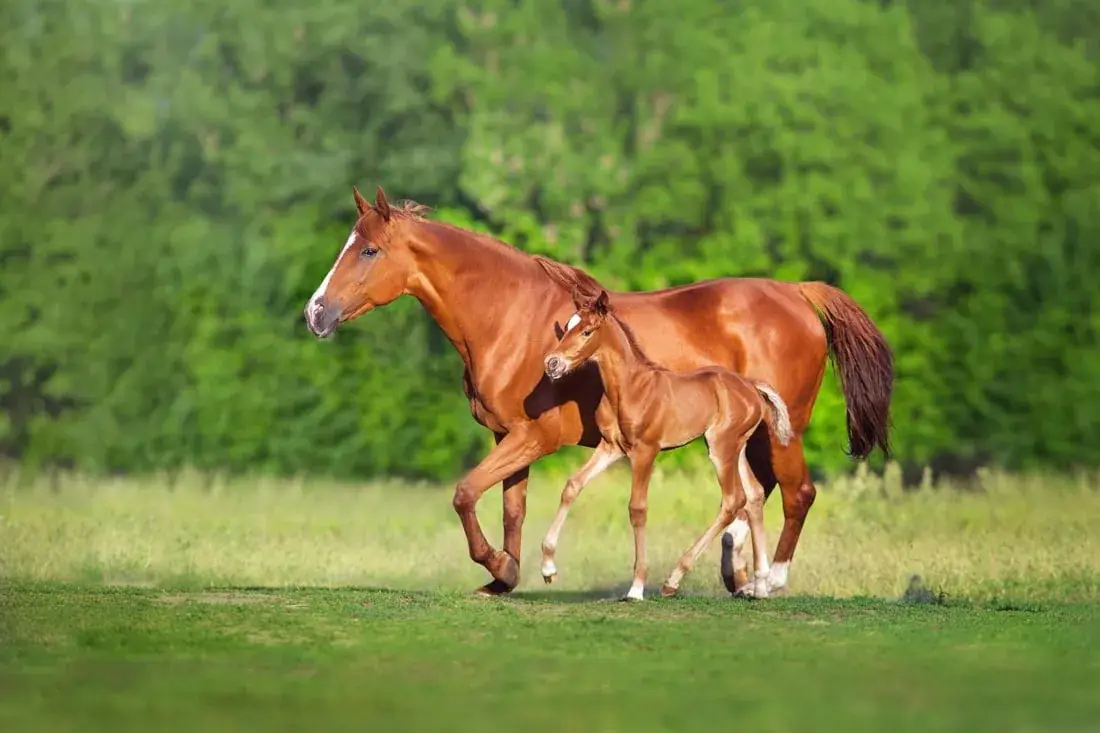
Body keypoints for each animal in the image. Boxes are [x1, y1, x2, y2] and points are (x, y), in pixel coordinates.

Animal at [541, 287, 794, 600]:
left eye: (587, 331)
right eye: (566, 328)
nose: (552, 364)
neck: (630, 388)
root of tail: (751, 386)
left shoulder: (645, 451)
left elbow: (637, 509)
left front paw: (636, 587)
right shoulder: (610, 448)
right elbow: (572, 486)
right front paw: (548, 567)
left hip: (721, 447)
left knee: (734, 500)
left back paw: (673, 580)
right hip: (737, 448)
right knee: (755, 495)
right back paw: (759, 586)